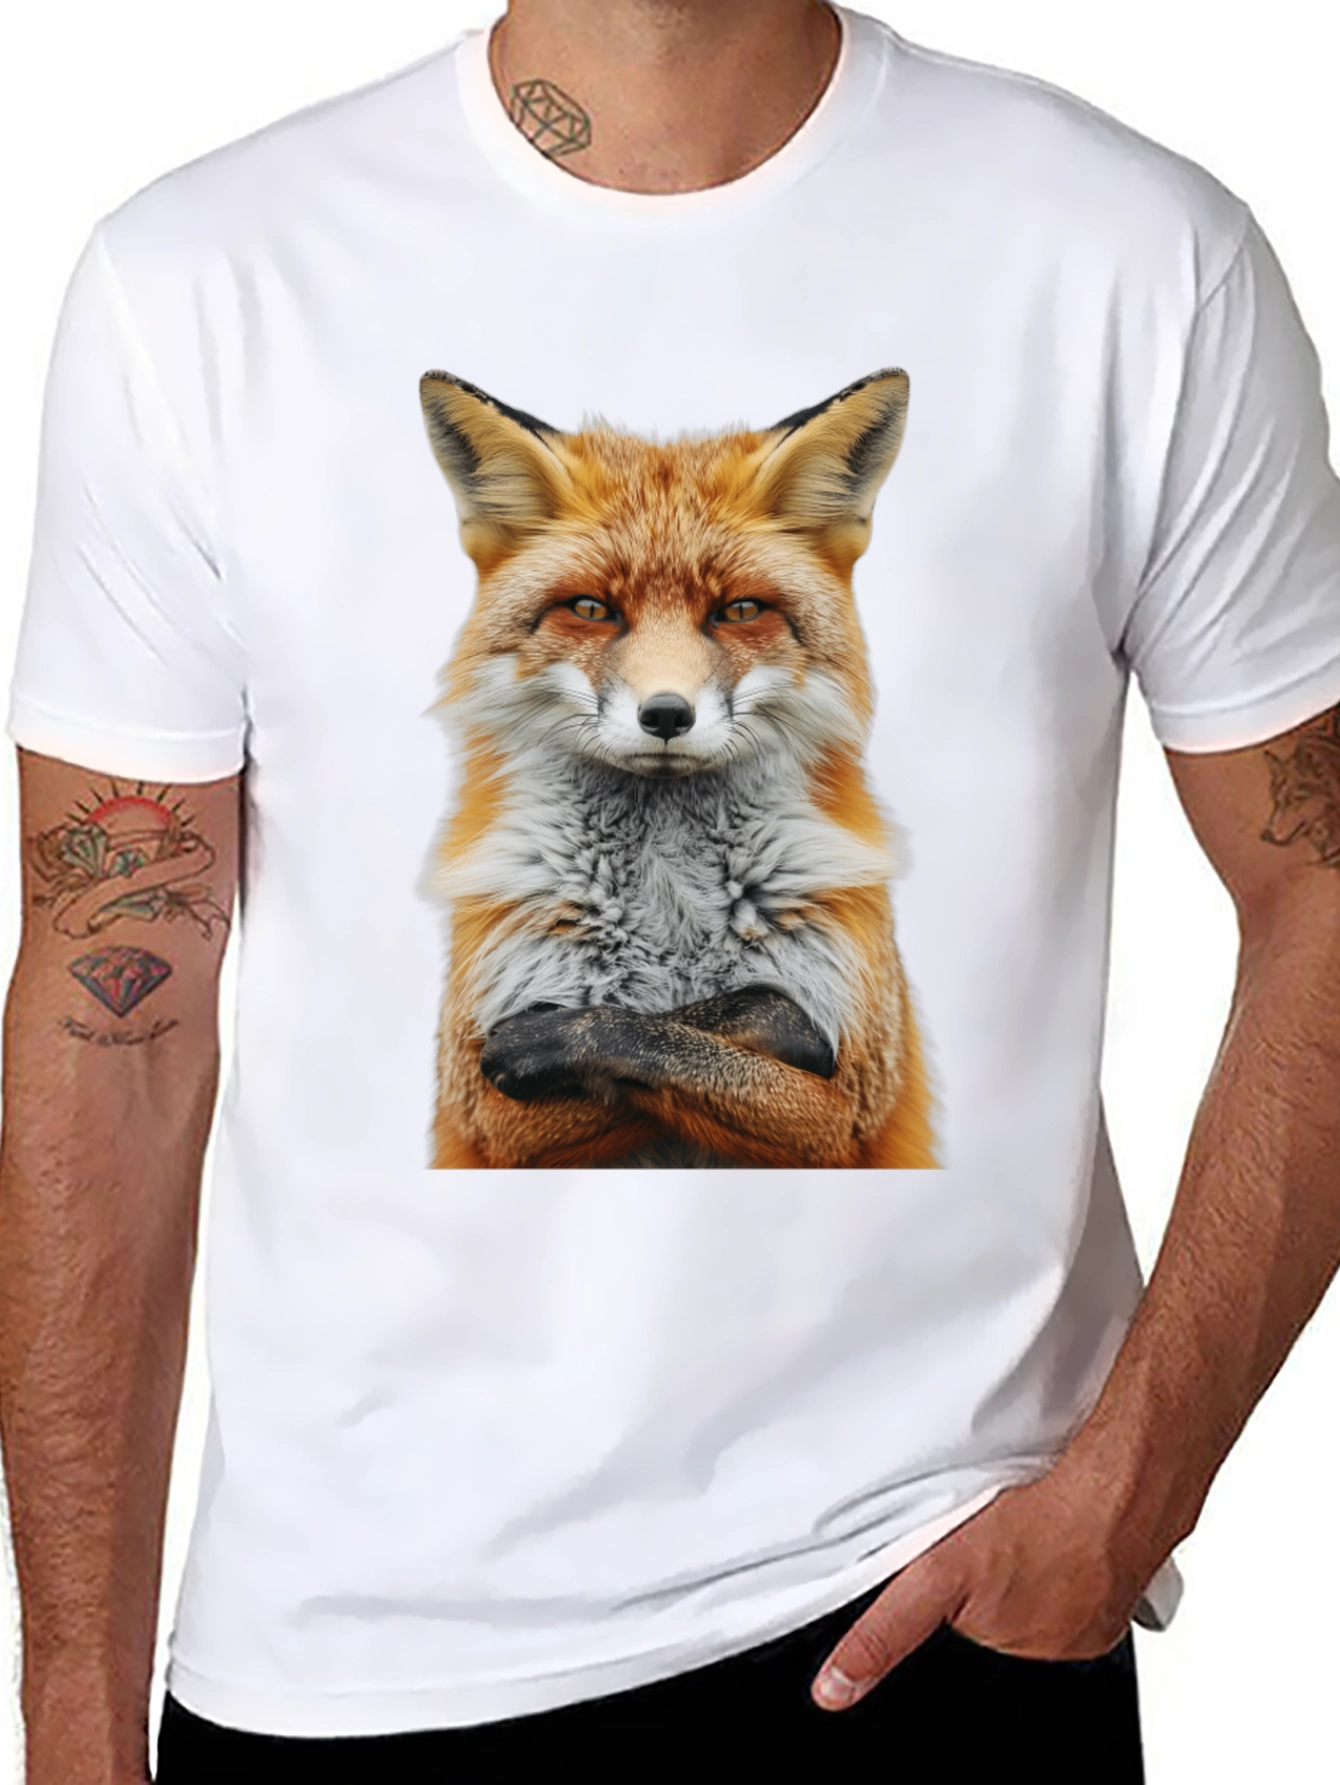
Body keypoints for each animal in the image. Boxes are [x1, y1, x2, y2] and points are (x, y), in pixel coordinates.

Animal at [416, 365, 942, 1170]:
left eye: (740, 611)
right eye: (592, 609)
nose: (666, 715)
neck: (668, 904)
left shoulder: (850, 1103)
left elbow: (689, 1032)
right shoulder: (487, 1115)